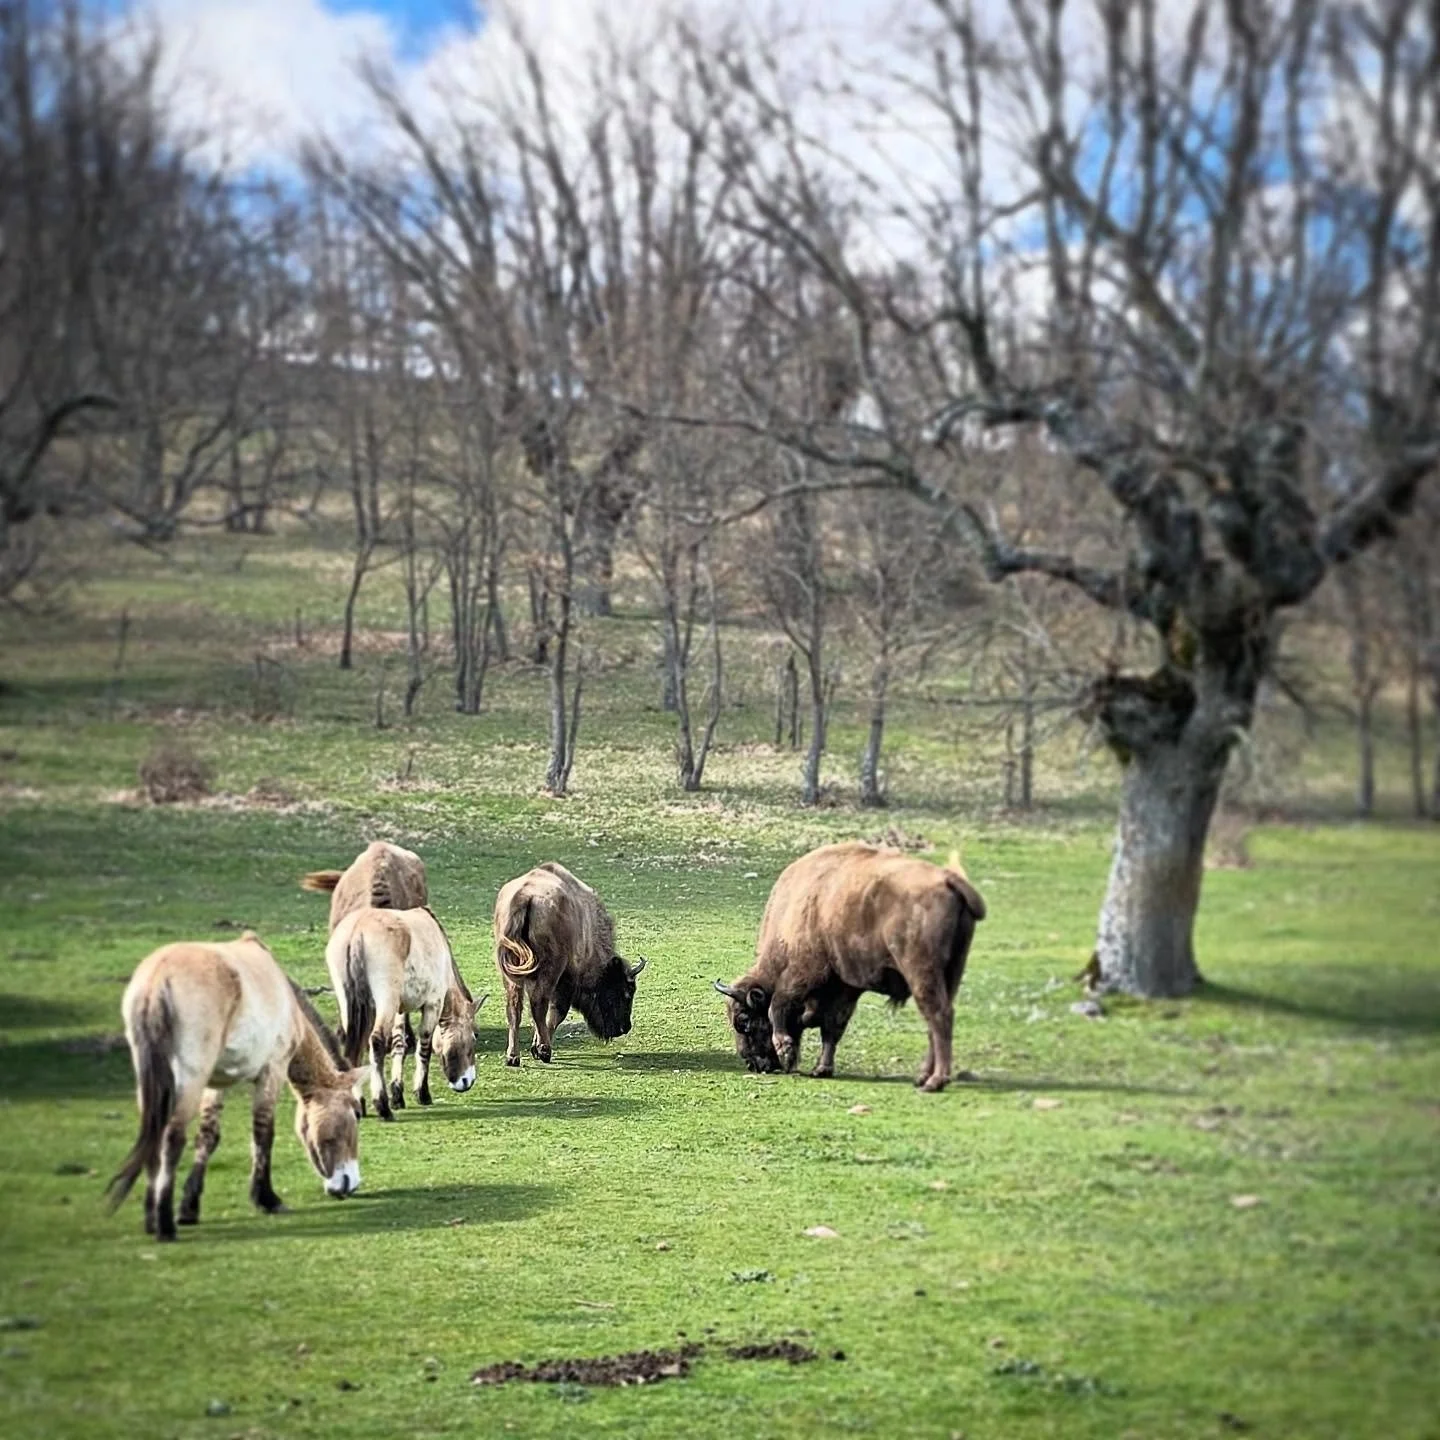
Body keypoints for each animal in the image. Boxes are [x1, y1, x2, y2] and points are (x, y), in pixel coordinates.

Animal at [107, 931, 369, 1242]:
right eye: (355, 1115)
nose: (349, 1183)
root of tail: (158, 978)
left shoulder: (216, 1083)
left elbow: (208, 1136)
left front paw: (189, 1207)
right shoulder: (272, 1071)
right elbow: (263, 1134)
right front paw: (266, 1199)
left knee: (154, 1134)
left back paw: (151, 1219)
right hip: (190, 1078)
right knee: (172, 1137)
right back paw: (165, 1226)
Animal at [327, 906, 484, 1121]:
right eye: (474, 1035)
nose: (467, 1080)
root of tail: (358, 929)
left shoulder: (400, 1011)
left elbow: (399, 1045)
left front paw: (398, 1096)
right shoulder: (432, 1004)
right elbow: (424, 1046)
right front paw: (422, 1094)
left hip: (351, 1005)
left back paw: (359, 1104)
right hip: (385, 1001)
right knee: (376, 1041)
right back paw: (382, 1106)